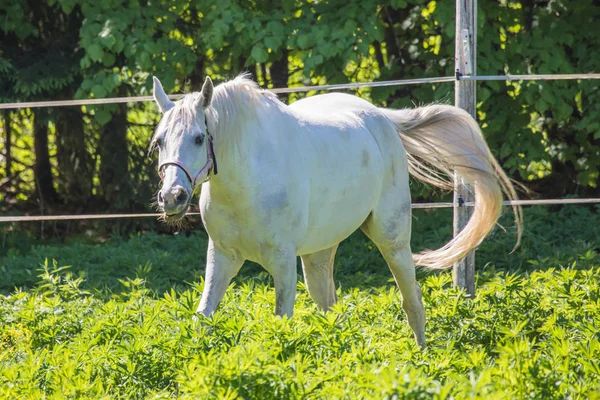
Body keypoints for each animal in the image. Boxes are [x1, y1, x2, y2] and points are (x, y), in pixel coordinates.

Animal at [152, 74, 524, 346]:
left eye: (199, 137)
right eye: (159, 141)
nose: (172, 197)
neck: (247, 180)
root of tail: (381, 118)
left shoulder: (282, 262)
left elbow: (281, 321)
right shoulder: (223, 256)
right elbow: (203, 317)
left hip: (392, 240)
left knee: (412, 302)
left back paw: (421, 359)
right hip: (318, 254)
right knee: (331, 310)